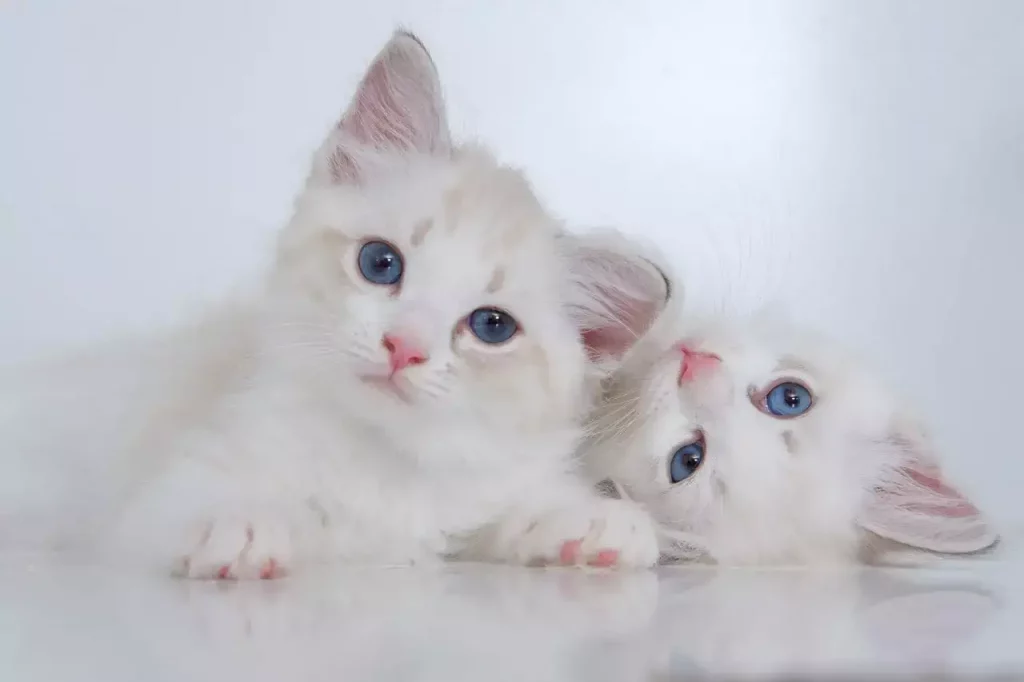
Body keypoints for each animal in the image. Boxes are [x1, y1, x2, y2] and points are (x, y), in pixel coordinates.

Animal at [2, 30, 671, 573]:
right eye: (380, 263)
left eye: (490, 325)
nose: (403, 348)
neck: (377, 462)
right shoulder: (143, 506)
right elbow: (222, 513)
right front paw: (240, 524)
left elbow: (494, 525)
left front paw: (587, 522)